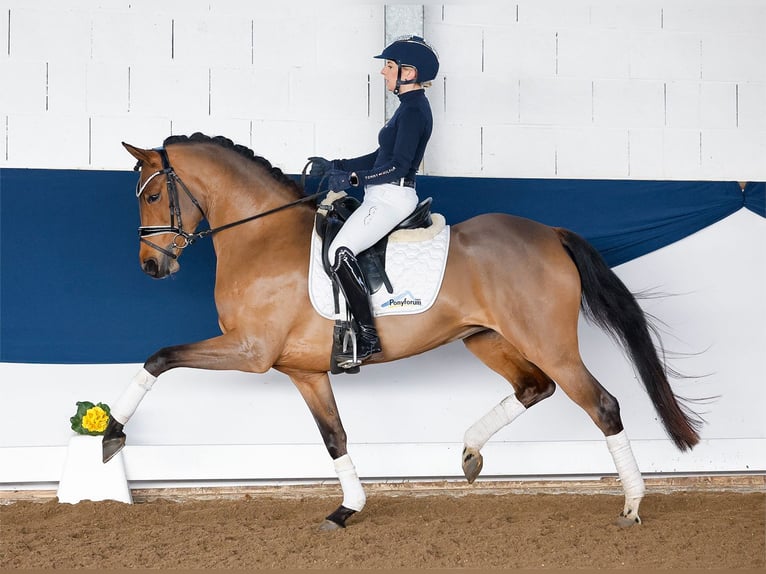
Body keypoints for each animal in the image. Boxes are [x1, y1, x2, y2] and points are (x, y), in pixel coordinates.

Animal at [105, 134, 704, 532]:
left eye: (152, 196)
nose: (150, 267)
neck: (261, 235)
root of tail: (548, 234)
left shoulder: (250, 352)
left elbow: (159, 357)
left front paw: (111, 433)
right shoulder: (303, 370)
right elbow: (335, 438)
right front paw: (347, 509)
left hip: (548, 343)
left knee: (601, 404)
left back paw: (631, 506)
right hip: (485, 337)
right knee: (535, 388)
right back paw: (469, 452)